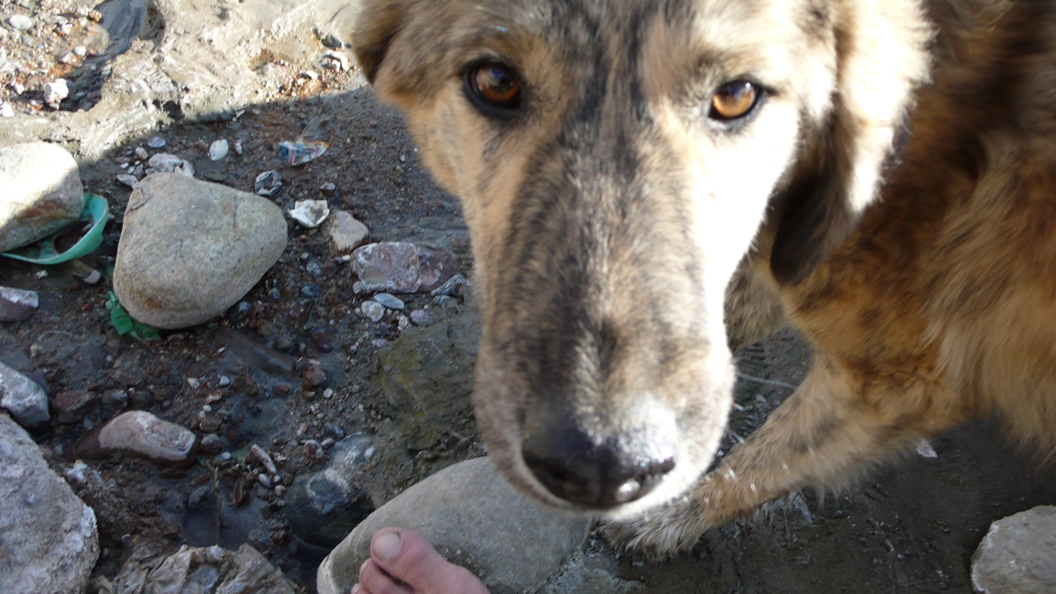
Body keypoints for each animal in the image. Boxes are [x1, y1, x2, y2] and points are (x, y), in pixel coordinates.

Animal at [352, 0, 1056, 557]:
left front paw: (670, 516)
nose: (602, 466)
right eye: (495, 81)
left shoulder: (903, 379)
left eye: (736, 94)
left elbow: (764, 459)